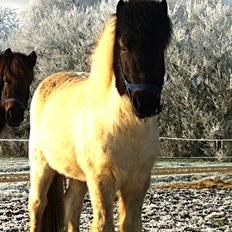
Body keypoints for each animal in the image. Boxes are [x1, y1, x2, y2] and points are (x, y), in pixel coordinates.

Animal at [28, 0, 170, 231]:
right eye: (123, 46)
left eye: (161, 47)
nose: (145, 103)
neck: (124, 125)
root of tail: (47, 83)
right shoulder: (101, 181)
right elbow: (103, 224)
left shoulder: (138, 182)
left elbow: (130, 224)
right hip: (41, 166)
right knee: (37, 205)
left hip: (78, 177)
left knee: (71, 205)